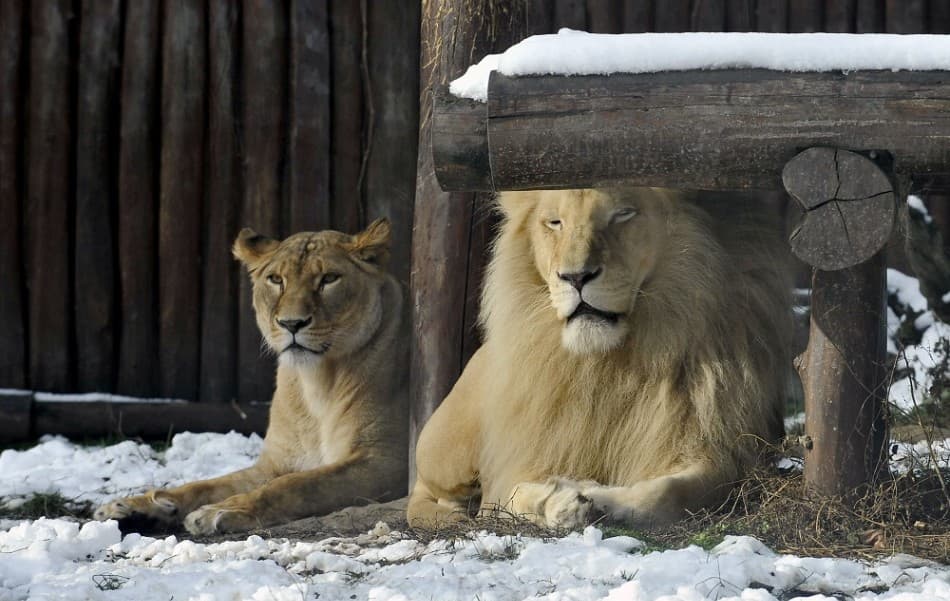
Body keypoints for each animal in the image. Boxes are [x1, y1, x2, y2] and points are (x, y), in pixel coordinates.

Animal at [95, 219, 408, 536]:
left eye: (329, 278)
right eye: (276, 279)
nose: (292, 323)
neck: (317, 380)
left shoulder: (386, 462)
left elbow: (294, 485)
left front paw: (222, 510)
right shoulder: (275, 463)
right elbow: (205, 485)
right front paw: (135, 506)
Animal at [410, 190, 796, 528]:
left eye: (623, 214)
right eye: (555, 222)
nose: (575, 276)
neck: (609, 362)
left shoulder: (720, 451)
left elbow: (668, 492)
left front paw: (596, 498)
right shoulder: (514, 464)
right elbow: (512, 494)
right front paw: (560, 500)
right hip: (446, 450)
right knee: (422, 495)